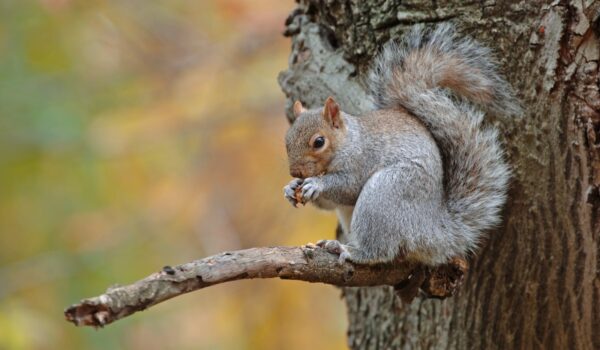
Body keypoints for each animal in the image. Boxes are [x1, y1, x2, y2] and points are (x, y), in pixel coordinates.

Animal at [282, 22, 520, 266]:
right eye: (287, 141)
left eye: (319, 142)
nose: (295, 172)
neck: (349, 141)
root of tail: (432, 228)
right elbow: (328, 204)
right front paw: (291, 188)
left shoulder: (363, 159)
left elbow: (348, 187)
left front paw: (316, 184)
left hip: (386, 194)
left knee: (380, 250)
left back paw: (349, 250)